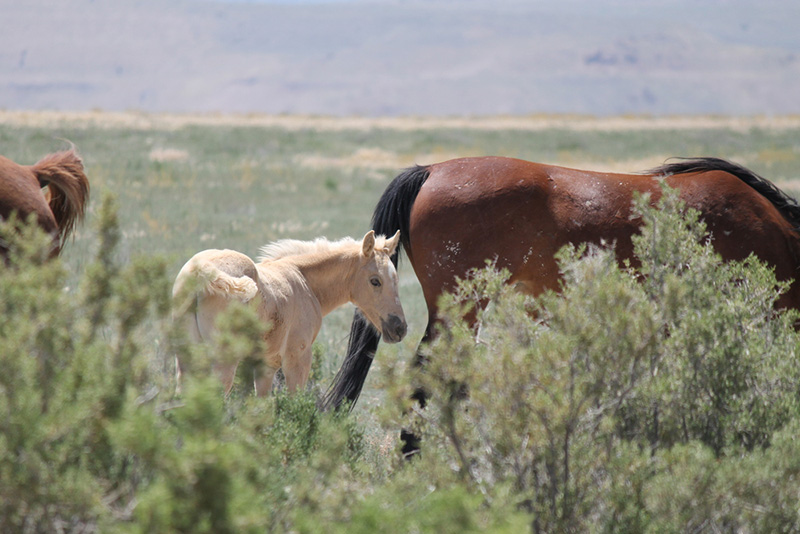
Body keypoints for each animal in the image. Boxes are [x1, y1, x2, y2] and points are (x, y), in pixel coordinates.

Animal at [172, 230, 407, 396]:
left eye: (396, 278)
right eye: (375, 281)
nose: (400, 328)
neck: (304, 279)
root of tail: (201, 272)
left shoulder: (267, 363)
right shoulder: (298, 357)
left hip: (186, 360)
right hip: (223, 361)